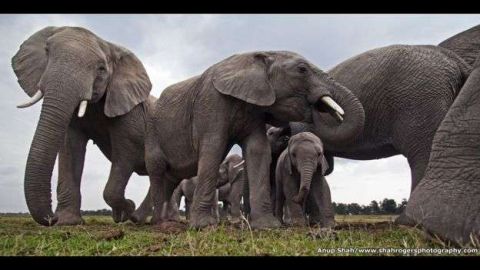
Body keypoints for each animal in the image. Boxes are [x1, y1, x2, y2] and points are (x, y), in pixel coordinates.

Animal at [11, 26, 154, 227]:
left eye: (101, 69)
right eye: (47, 52)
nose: (51, 218)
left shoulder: (129, 111)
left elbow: (126, 152)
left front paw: (127, 209)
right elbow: (70, 147)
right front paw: (67, 221)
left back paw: (136, 218)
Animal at [145, 49, 364, 229]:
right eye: (302, 69)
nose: (319, 106)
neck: (261, 54)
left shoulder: (255, 108)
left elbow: (258, 150)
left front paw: (267, 226)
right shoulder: (211, 101)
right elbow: (213, 148)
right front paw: (203, 227)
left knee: (169, 179)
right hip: (154, 134)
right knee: (157, 171)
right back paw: (160, 223)